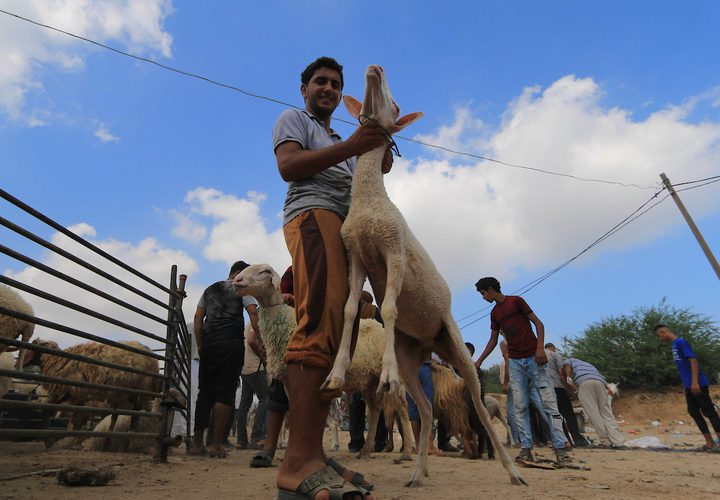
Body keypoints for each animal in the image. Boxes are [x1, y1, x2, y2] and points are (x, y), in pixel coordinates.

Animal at [231, 264, 410, 458]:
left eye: (265, 271)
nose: (237, 281)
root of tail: (379, 327)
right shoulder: (287, 380)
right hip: (370, 380)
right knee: (376, 410)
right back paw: (365, 450)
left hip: (387, 377)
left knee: (402, 408)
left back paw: (407, 451)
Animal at [318, 63, 524, 488]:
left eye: (396, 105)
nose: (375, 68)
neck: (370, 202)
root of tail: (432, 345)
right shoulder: (357, 256)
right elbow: (348, 309)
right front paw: (335, 375)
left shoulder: (393, 249)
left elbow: (390, 308)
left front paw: (383, 375)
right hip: (411, 358)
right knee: (426, 410)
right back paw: (418, 471)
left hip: (456, 347)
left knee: (479, 407)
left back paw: (513, 472)